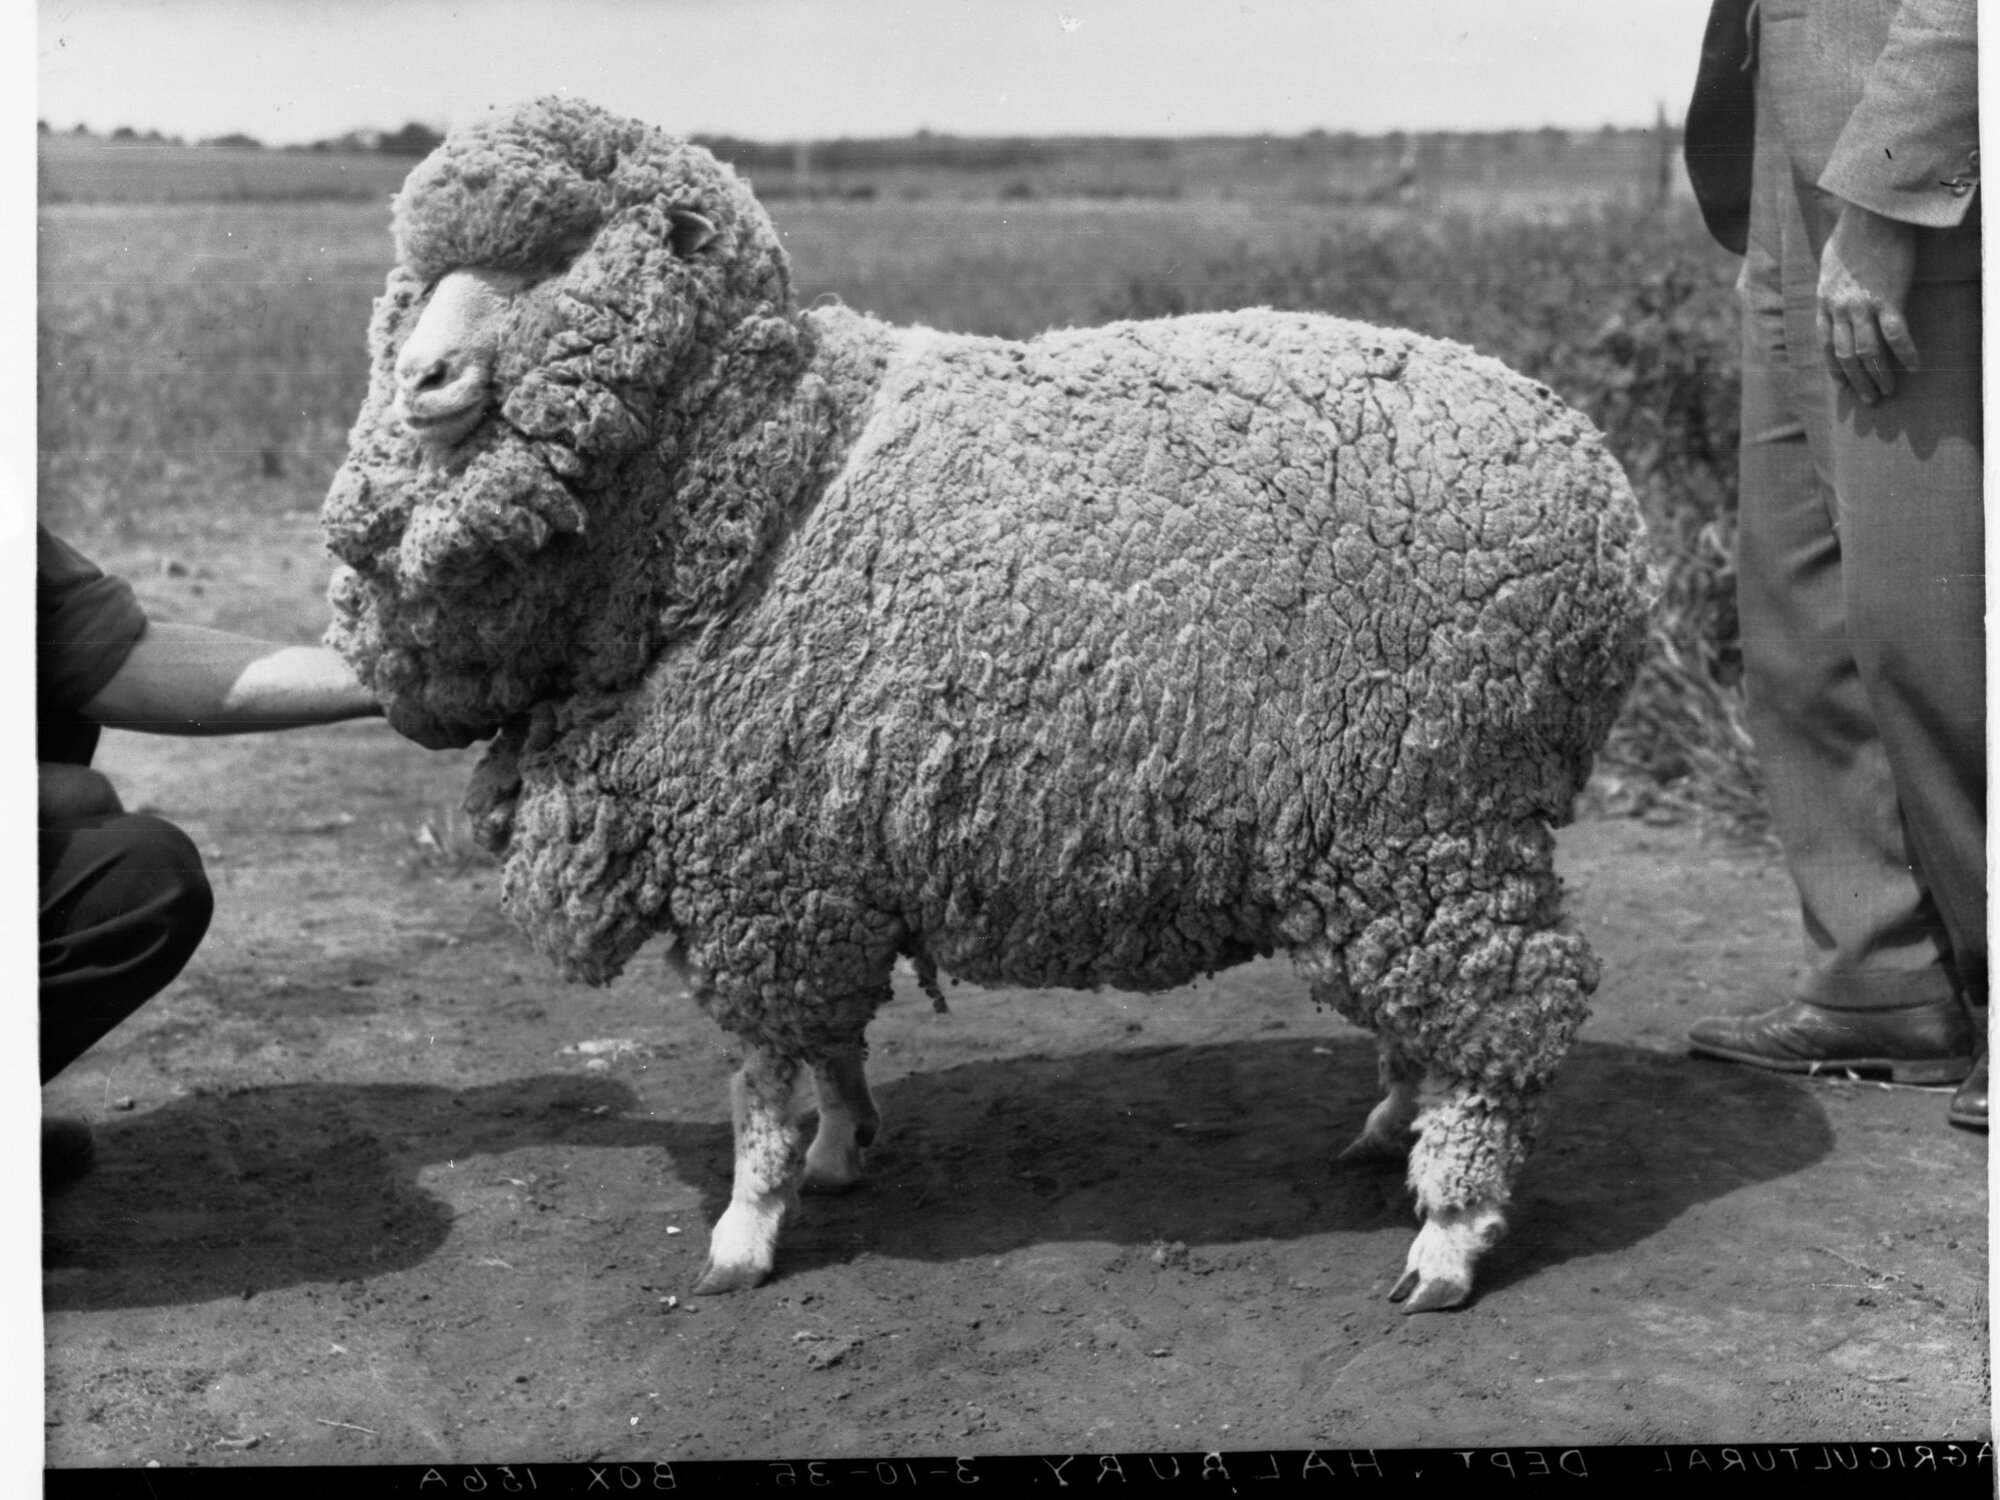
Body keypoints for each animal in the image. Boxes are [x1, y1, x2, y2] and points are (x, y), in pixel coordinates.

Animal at [322, 97, 1655, 1313]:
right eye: (420, 276)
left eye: (550, 259)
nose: (423, 379)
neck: (764, 477)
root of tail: (1601, 489)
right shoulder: (813, 854)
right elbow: (829, 1044)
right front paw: (842, 1148)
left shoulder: (747, 863)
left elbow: (761, 1075)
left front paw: (747, 1229)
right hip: (1394, 833)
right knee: (1433, 1009)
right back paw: (1392, 1125)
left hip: (1434, 811)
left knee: (1506, 1009)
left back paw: (1449, 1233)